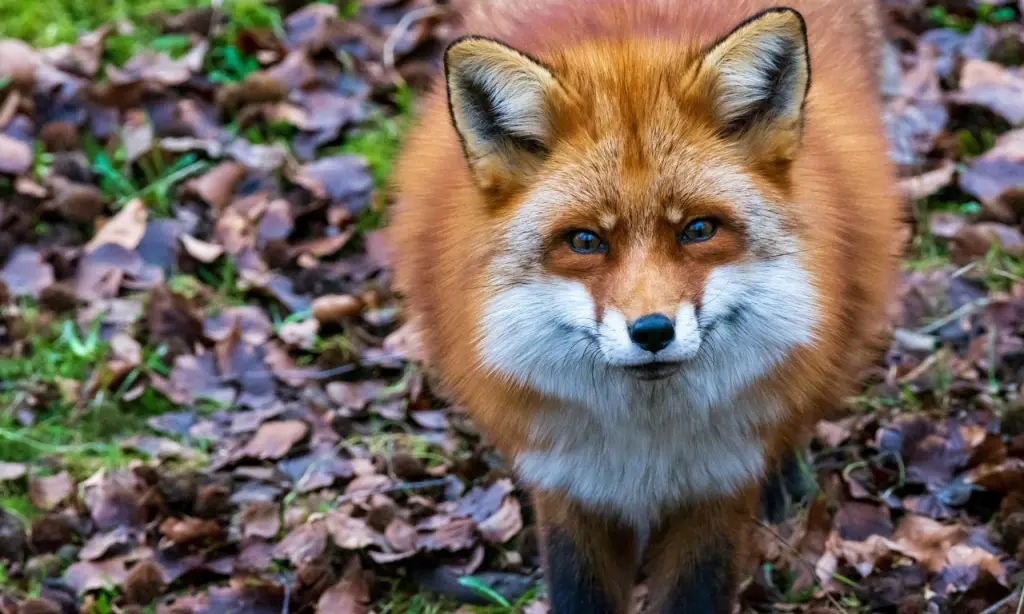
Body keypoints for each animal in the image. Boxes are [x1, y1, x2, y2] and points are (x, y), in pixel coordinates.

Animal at [387, 0, 901, 609]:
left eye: (698, 230)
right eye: (585, 241)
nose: (652, 331)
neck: (646, 449)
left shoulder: (720, 485)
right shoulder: (566, 484)